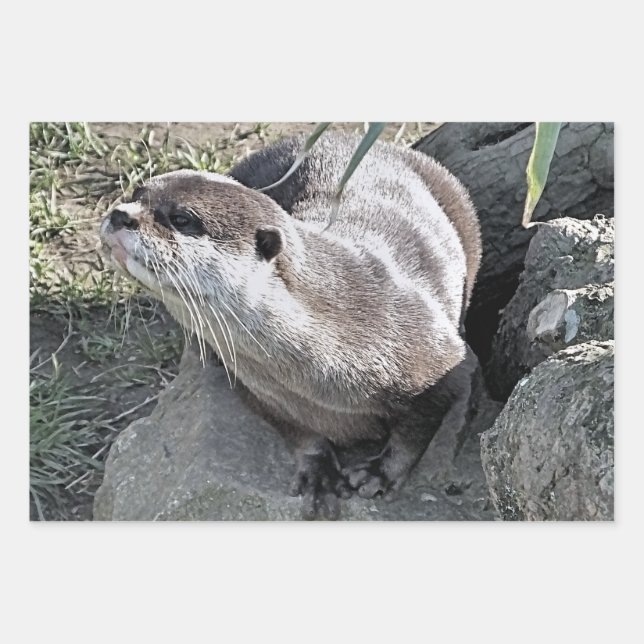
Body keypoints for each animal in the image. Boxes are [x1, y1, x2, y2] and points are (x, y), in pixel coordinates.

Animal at [99, 132, 481, 520]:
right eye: (136, 192)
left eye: (181, 218)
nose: (120, 214)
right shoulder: (258, 389)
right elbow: (296, 431)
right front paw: (319, 471)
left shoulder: (438, 359)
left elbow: (419, 428)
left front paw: (380, 473)